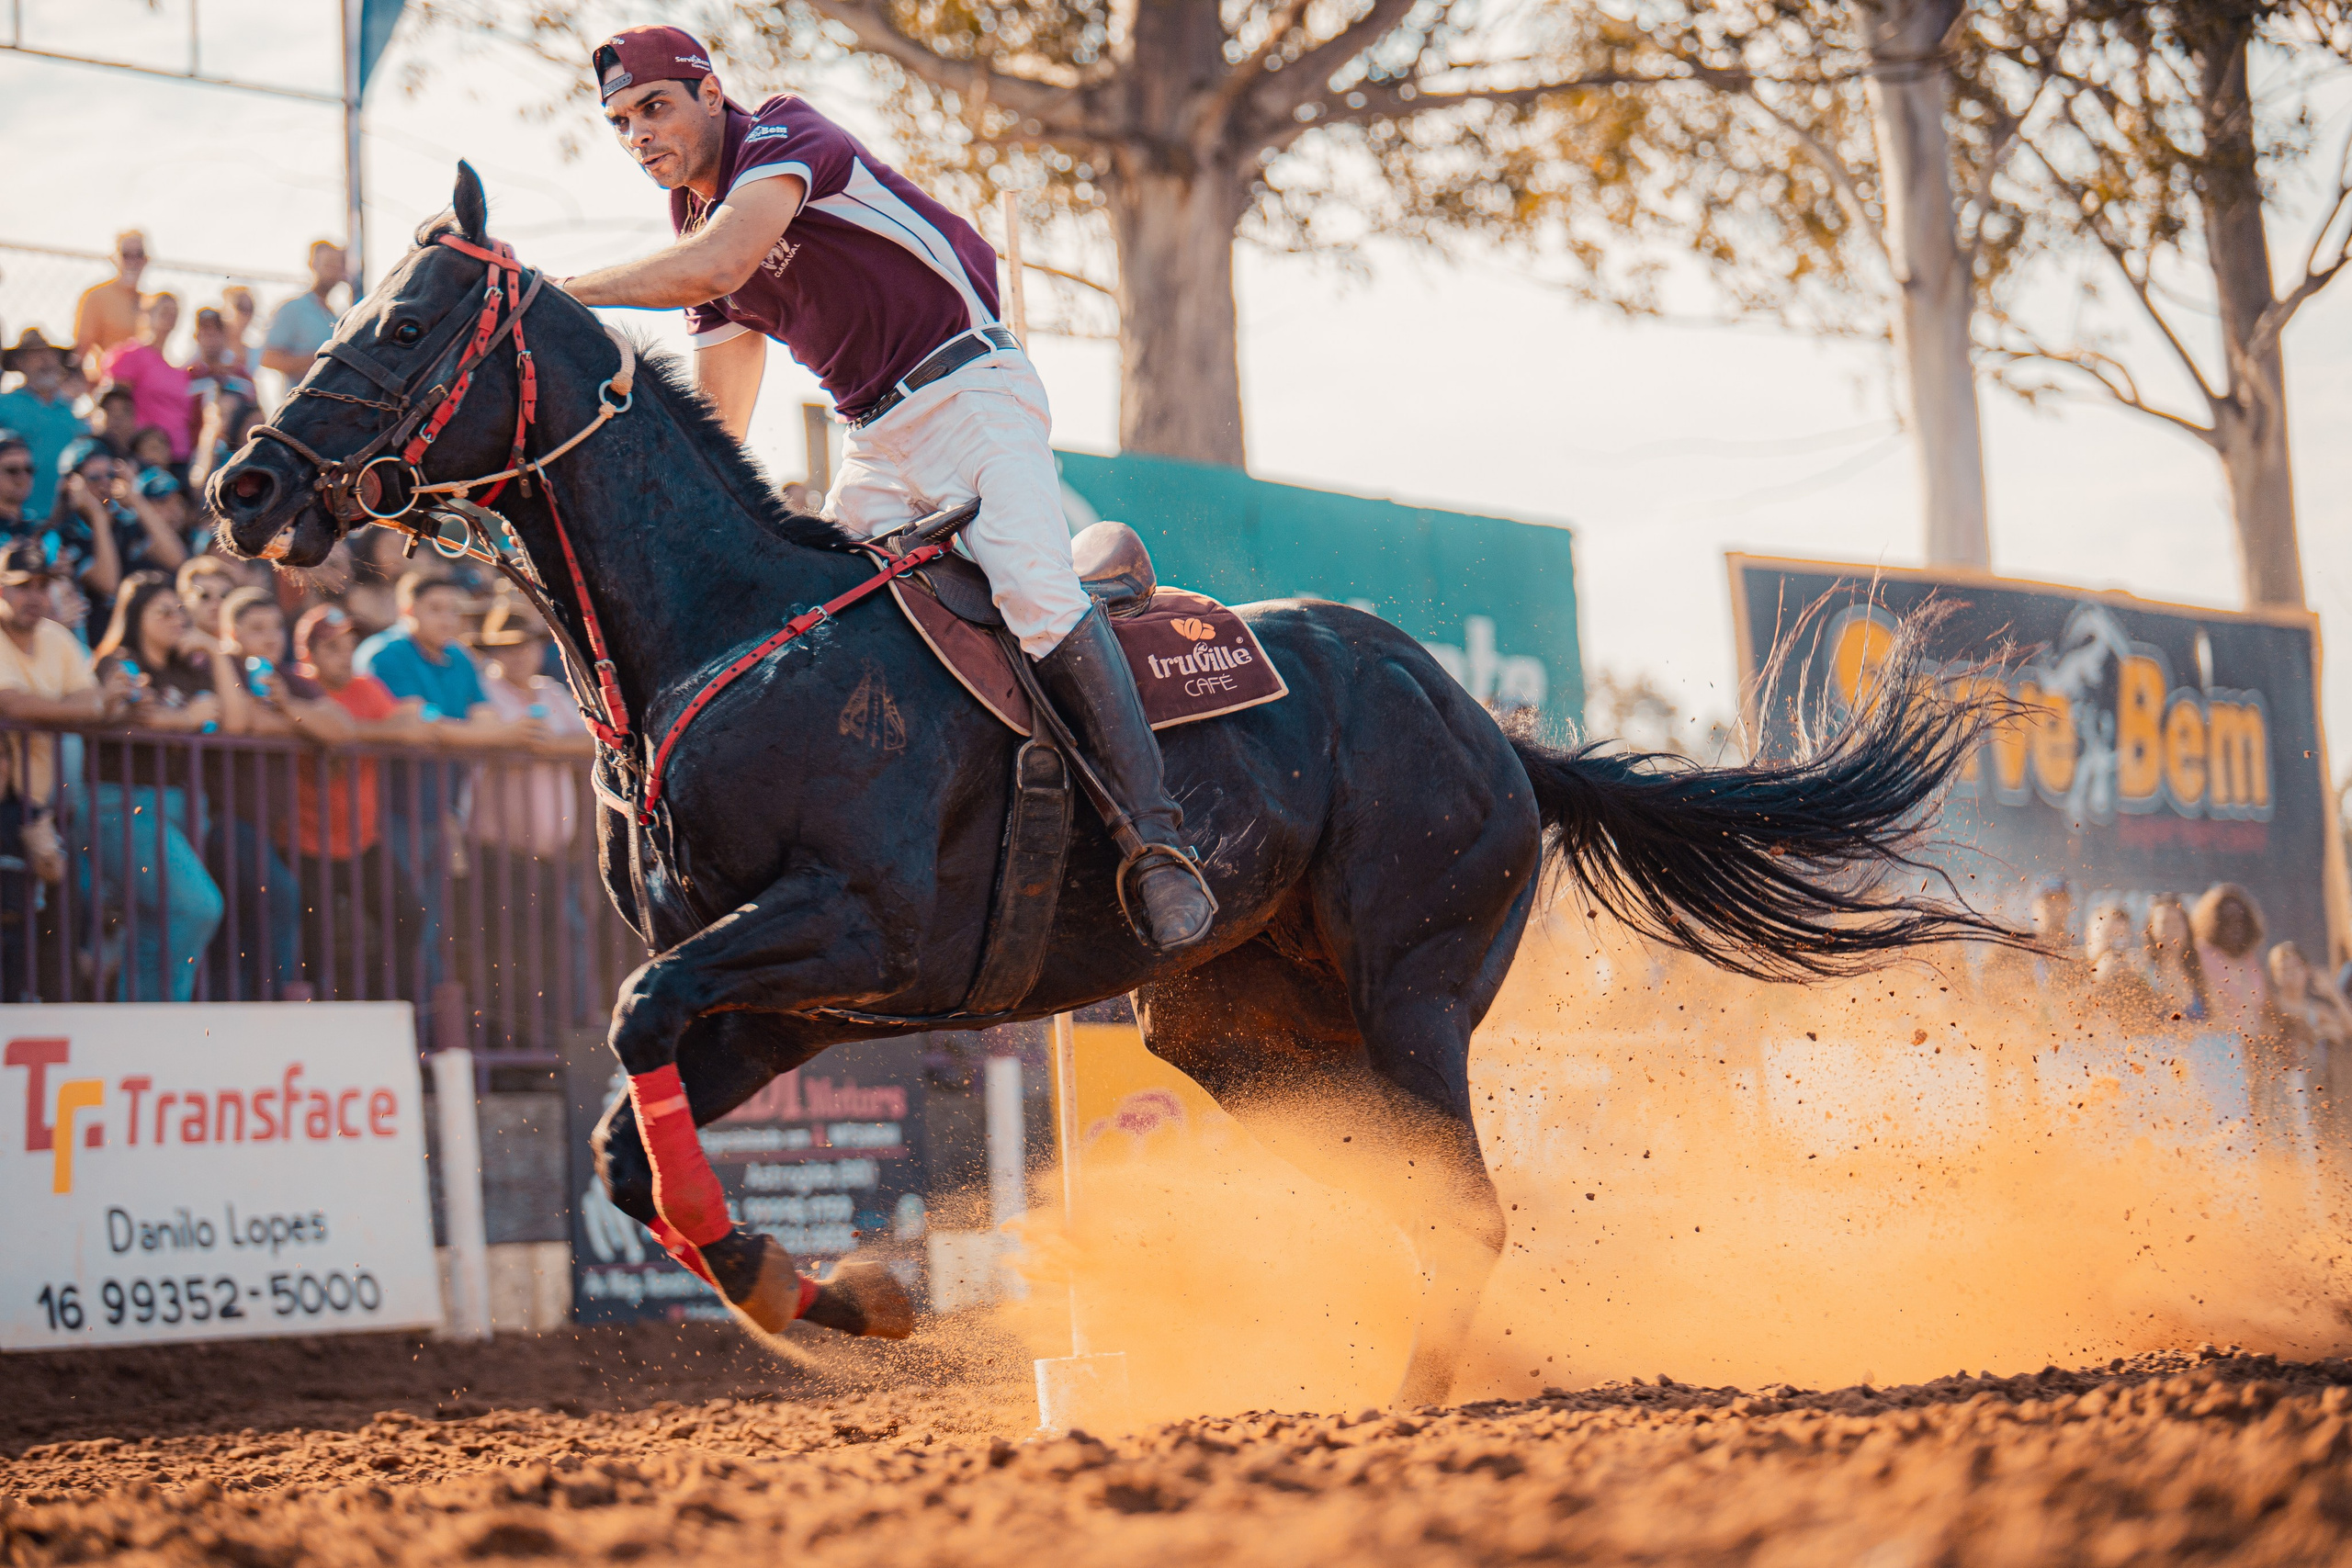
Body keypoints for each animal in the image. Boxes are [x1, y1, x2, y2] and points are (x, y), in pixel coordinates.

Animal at [209, 165, 2012, 1404]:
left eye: (404, 323)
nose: (243, 483)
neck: (721, 633)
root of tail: (1497, 730)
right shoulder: (793, 1000)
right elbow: (617, 1151)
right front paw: (839, 1296)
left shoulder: (854, 932)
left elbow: (636, 1025)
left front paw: (827, 1290)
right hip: (1239, 1031)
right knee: (1409, 1197)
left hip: (1415, 985)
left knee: (1471, 1208)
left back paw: (1414, 1392)